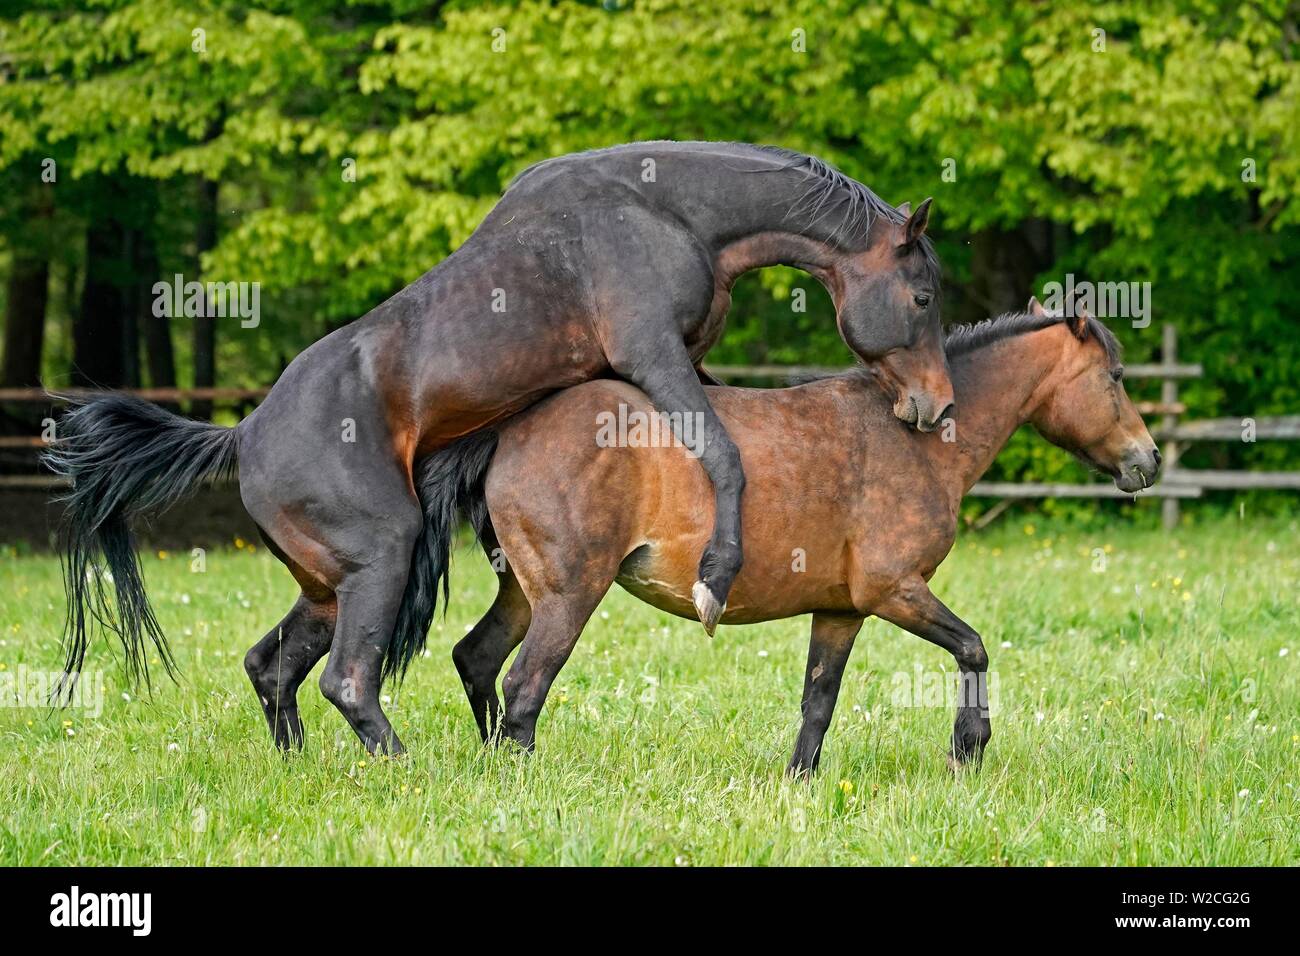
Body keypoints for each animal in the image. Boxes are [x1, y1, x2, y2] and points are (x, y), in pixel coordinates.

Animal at [46, 142, 954, 755]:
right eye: (922, 295)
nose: (936, 407)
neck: (664, 212)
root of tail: (244, 433)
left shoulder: (684, 365)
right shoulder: (655, 357)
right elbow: (725, 456)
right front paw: (714, 579)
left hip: (328, 585)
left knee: (273, 667)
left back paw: (301, 763)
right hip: (383, 555)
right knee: (348, 679)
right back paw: (408, 770)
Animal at [429, 298, 1160, 773]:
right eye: (1116, 377)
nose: (1148, 461)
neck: (914, 438)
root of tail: (513, 429)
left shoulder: (840, 611)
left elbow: (818, 702)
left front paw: (799, 781)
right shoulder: (895, 591)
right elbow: (974, 650)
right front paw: (967, 747)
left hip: (524, 593)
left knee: (478, 660)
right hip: (569, 596)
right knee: (524, 686)